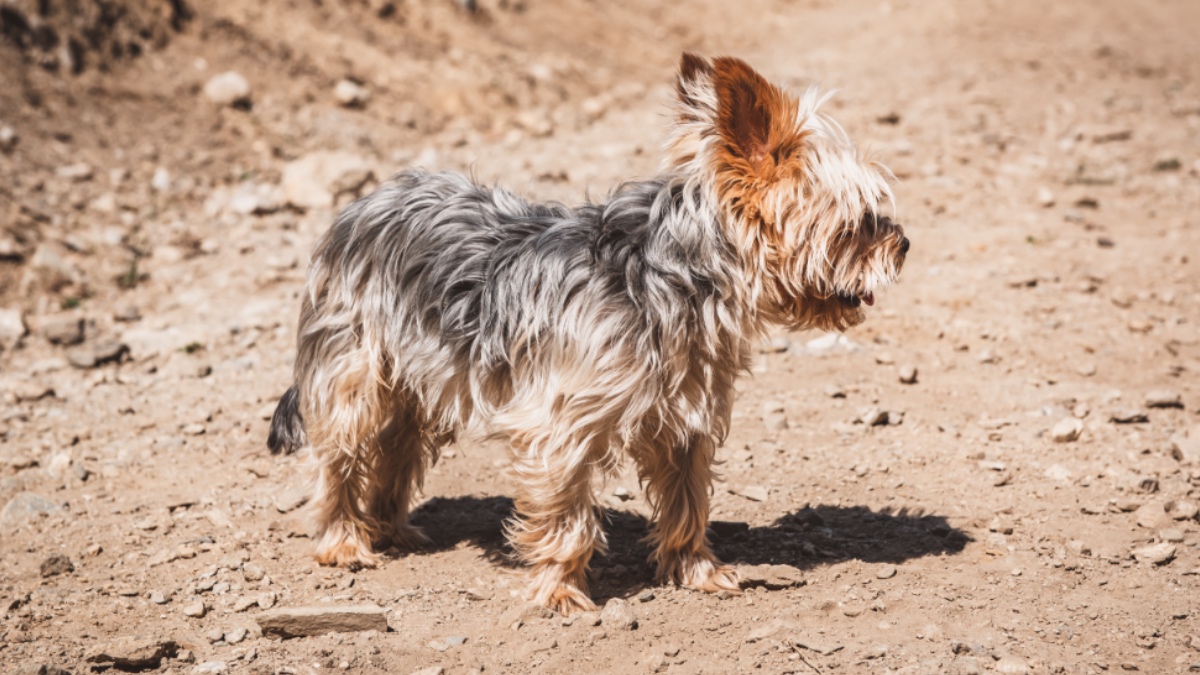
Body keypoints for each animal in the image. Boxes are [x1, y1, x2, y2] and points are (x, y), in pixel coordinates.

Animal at [270, 51, 907, 610]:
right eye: (864, 222)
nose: (903, 244)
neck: (675, 278)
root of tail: (360, 205)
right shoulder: (561, 425)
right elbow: (568, 520)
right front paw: (559, 592)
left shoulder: (686, 419)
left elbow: (688, 503)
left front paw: (698, 572)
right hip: (355, 368)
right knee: (341, 455)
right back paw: (343, 542)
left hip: (417, 376)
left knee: (397, 447)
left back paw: (391, 528)